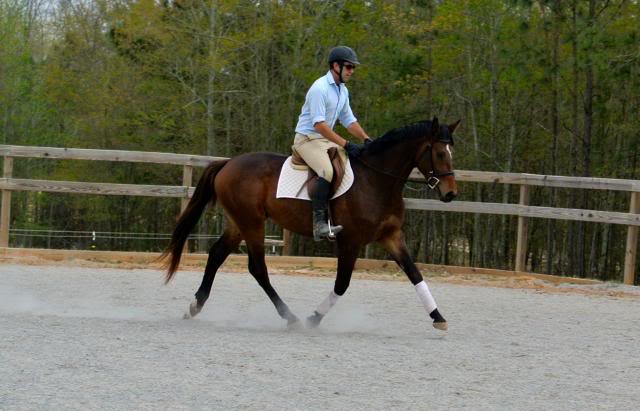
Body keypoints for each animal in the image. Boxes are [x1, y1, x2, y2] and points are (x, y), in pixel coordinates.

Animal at [162, 116, 458, 332]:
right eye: (440, 154)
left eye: (450, 152)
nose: (450, 194)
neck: (377, 181)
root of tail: (228, 163)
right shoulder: (350, 241)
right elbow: (342, 284)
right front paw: (314, 318)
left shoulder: (391, 236)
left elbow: (415, 273)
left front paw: (438, 317)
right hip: (252, 223)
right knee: (258, 268)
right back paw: (290, 317)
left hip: (239, 223)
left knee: (216, 255)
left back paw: (195, 306)